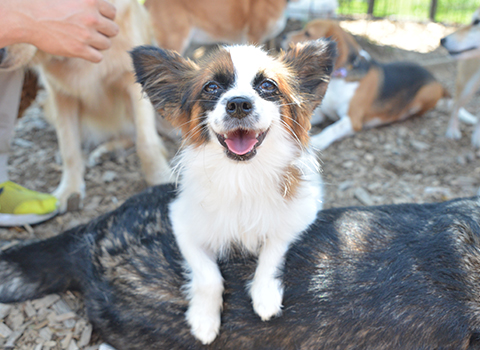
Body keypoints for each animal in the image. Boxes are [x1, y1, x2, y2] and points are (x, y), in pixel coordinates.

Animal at [129, 39, 336, 344]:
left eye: (268, 86)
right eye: (211, 87)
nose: (238, 103)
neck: (241, 175)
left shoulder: (298, 216)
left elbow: (272, 251)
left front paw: (264, 295)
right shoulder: (182, 223)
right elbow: (208, 276)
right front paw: (204, 318)